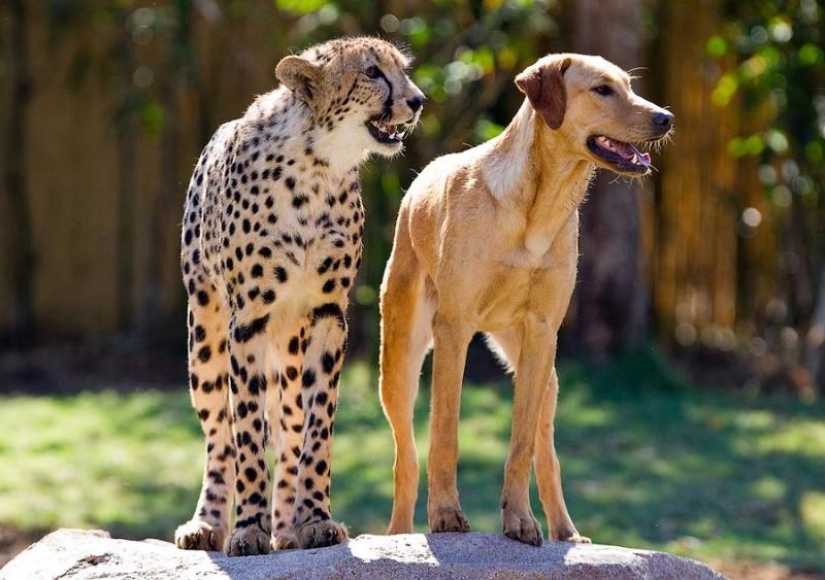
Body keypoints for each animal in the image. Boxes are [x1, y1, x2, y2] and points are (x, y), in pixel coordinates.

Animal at [175, 37, 424, 556]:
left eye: (402, 70)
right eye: (372, 72)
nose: (417, 101)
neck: (317, 166)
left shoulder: (329, 314)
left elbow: (317, 429)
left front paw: (314, 520)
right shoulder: (248, 320)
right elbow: (247, 433)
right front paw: (248, 528)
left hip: (289, 346)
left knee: (289, 429)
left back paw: (286, 528)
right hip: (204, 335)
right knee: (218, 435)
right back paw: (208, 523)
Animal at [376, 52, 672, 548]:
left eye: (629, 87)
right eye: (602, 90)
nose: (666, 118)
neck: (539, 203)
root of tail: (421, 179)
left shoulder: (541, 332)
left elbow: (521, 445)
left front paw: (519, 520)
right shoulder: (453, 331)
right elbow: (444, 437)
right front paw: (446, 515)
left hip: (546, 376)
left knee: (545, 452)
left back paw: (567, 533)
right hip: (399, 363)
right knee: (406, 457)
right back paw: (398, 534)